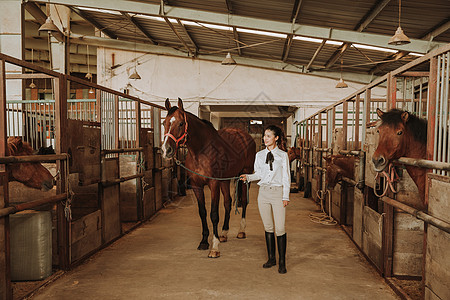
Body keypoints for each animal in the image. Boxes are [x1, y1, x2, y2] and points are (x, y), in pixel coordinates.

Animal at [161, 98, 256, 258]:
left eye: (181, 123)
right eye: (164, 123)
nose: (166, 150)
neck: (201, 151)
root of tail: (245, 136)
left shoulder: (214, 184)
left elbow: (214, 214)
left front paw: (215, 247)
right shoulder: (196, 185)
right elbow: (203, 212)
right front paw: (204, 242)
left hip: (244, 175)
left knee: (243, 201)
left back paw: (241, 231)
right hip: (226, 180)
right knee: (227, 202)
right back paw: (224, 233)